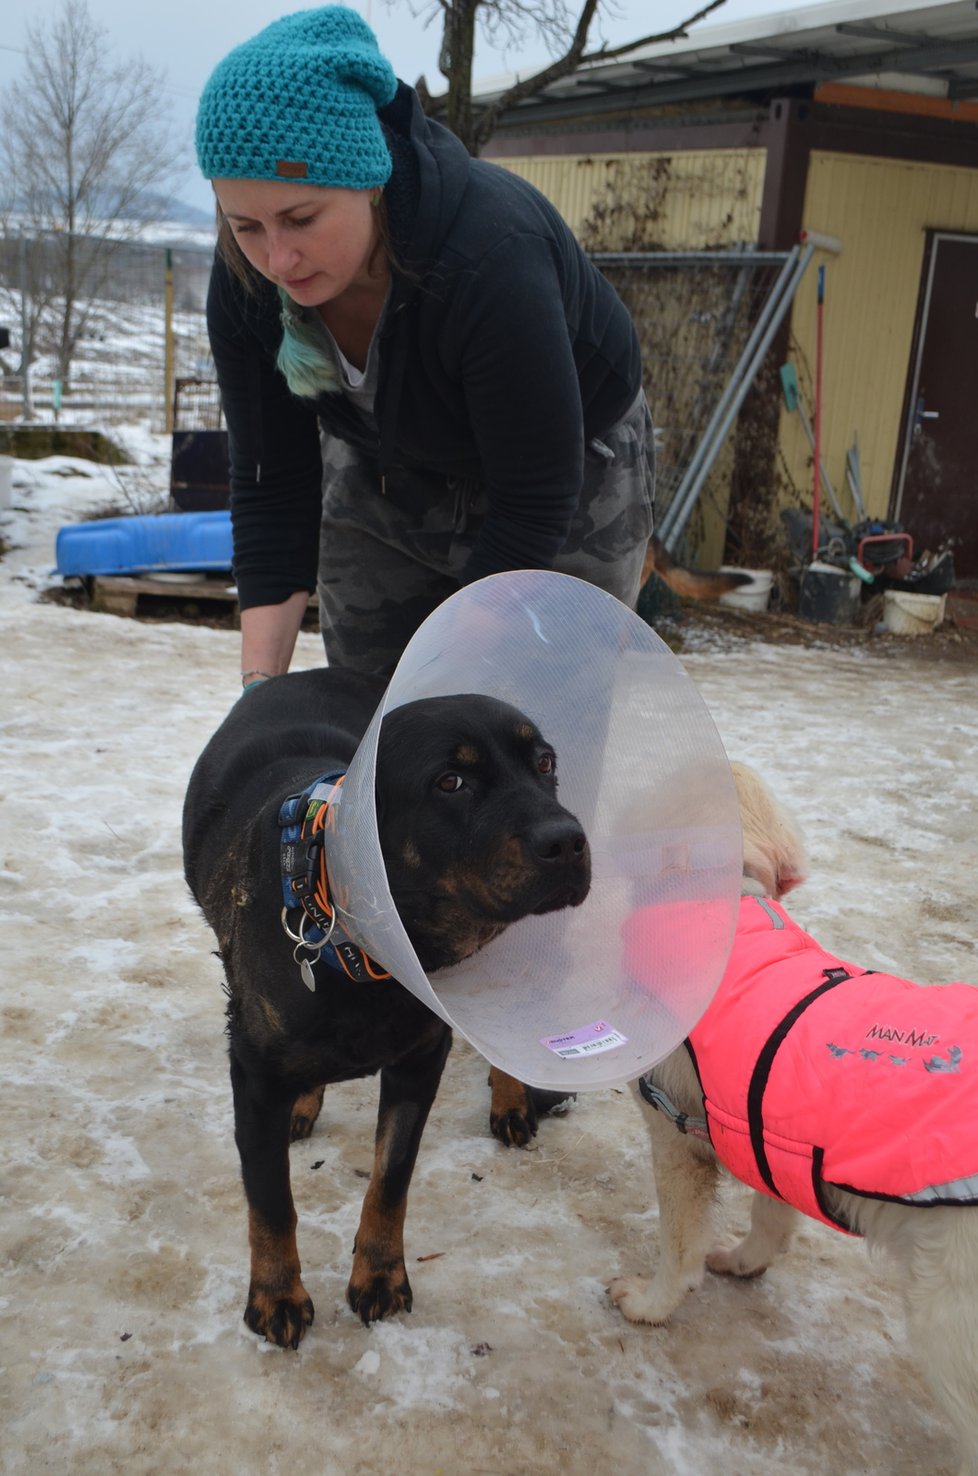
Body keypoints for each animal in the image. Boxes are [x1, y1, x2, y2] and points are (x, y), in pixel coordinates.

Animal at [182, 670, 590, 1352]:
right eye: (450, 782)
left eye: (546, 763)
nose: (570, 839)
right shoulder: (255, 1074)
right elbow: (270, 1200)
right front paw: (276, 1295)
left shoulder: (420, 1059)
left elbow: (391, 1178)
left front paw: (379, 1275)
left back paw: (511, 1098)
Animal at [607, 767, 978, 1470]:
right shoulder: (769, 1132)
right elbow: (771, 1220)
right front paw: (742, 1262)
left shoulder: (675, 1134)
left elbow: (678, 1246)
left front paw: (649, 1305)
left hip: (949, 1318)